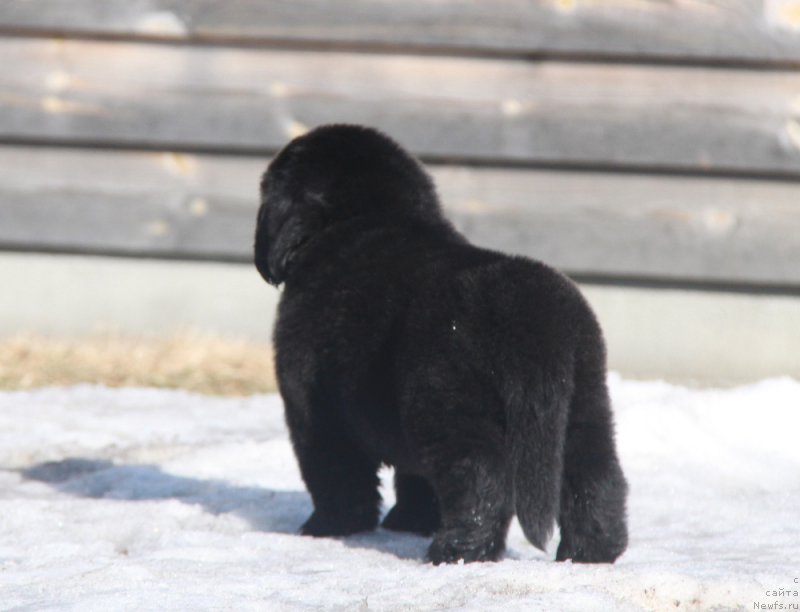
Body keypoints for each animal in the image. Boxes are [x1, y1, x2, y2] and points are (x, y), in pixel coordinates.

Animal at [253, 125, 628, 564]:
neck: (366, 218)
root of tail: (530, 319)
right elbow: (416, 480)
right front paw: (409, 522)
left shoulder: (313, 405)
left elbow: (335, 470)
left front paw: (328, 527)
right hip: (584, 398)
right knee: (595, 475)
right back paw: (590, 553)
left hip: (448, 403)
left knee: (481, 480)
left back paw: (457, 551)